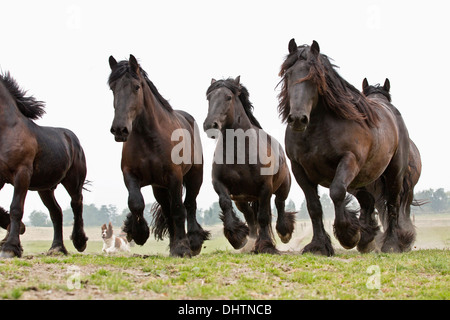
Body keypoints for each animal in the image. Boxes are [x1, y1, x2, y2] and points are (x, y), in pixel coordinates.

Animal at [0, 72, 88, 258]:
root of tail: (72, 138)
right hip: (45, 188)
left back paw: (79, 241)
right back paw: (57, 248)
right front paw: (13, 237)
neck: (7, 130)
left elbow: (16, 208)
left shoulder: (22, 174)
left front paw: (10, 247)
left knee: (76, 204)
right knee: (56, 212)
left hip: (73, 182)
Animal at [108, 55, 208, 258]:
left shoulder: (175, 177)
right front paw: (139, 233)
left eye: (136, 87)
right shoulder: (130, 174)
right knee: (168, 212)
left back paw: (193, 241)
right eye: (112, 88)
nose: (120, 129)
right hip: (159, 188)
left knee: (190, 205)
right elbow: (135, 202)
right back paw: (173, 245)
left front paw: (183, 247)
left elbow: (179, 209)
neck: (149, 137)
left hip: (194, 177)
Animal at [204, 76, 296, 254]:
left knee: (279, 204)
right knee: (250, 216)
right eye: (209, 98)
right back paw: (251, 242)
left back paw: (284, 233)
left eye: (228, 97)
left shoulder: (265, 188)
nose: (210, 125)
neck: (239, 152)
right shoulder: (220, 184)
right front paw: (237, 237)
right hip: (242, 199)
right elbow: (225, 204)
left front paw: (266, 245)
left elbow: (263, 217)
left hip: (283, 187)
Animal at [278, 39, 414, 255]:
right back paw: (367, 239)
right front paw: (319, 245)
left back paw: (391, 245)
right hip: (362, 180)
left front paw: (347, 235)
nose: (298, 119)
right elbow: (314, 206)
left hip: (393, 174)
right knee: (368, 201)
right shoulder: (299, 169)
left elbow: (336, 192)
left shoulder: (349, 161)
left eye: (316, 77)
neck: (317, 130)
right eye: (288, 74)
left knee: (393, 205)